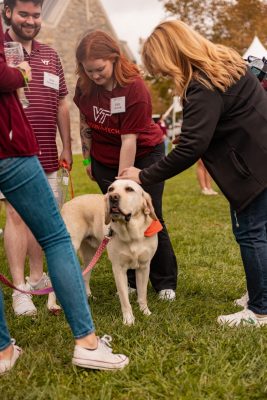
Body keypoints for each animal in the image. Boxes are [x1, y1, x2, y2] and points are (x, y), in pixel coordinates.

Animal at [61, 180, 161, 326]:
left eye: (129, 189)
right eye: (110, 189)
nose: (112, 197)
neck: (132, 235)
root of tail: (67, 203)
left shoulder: (144, 267)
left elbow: (142, 294)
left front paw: (145, 312)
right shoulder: (118, 269)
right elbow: (125, 299)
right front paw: (129, 320)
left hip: (91, 254)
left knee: (84, 273)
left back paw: (88, 297)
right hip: (70, 245)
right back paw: (54, 305)